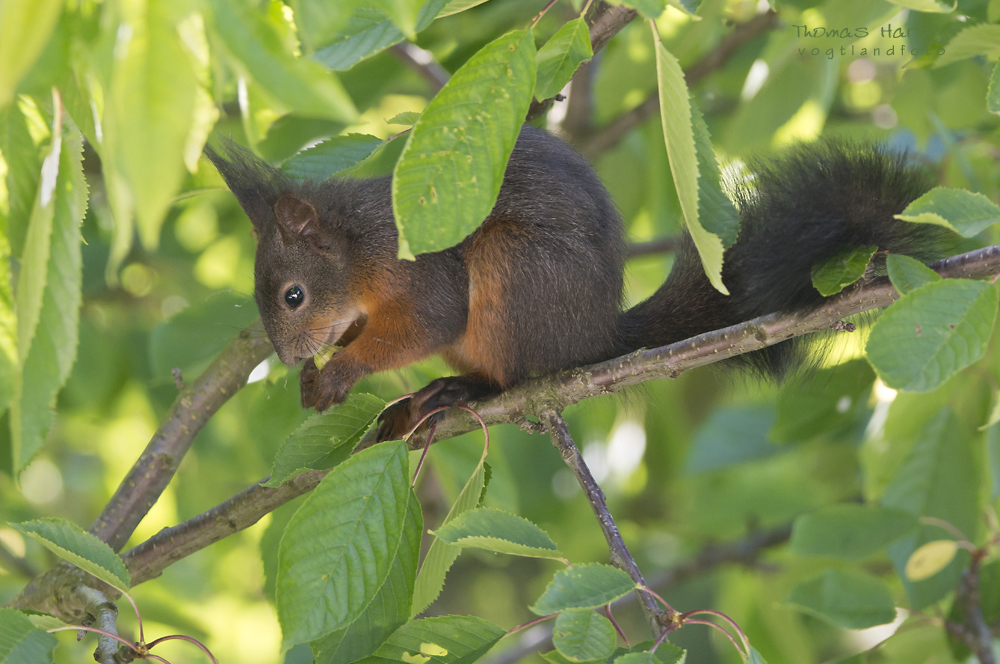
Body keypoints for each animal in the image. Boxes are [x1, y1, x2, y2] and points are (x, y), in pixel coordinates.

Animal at [205, 127, 952, 444]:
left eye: (293, 296)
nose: (289, 357)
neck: (357, 249)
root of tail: (596, 336)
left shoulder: (420, 268)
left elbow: (429, 320)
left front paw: (340, 370)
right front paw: (318, 376)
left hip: (515, 269)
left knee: (511, 375)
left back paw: (459, 393)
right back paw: (417, 402)